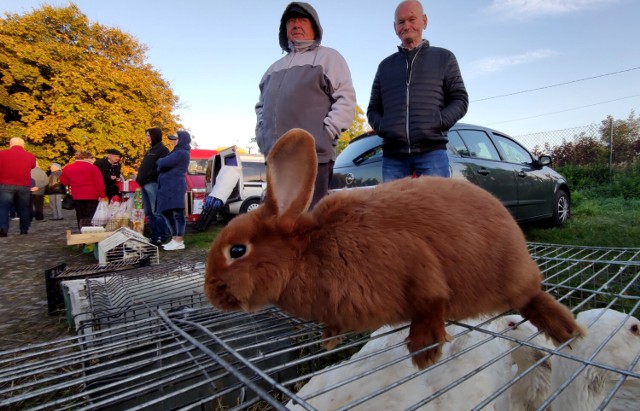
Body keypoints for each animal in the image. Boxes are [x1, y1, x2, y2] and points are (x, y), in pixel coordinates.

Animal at [205, 128, 584, 370]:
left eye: (237, 251)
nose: (212, 295)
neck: (308, 252)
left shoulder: (415, 263)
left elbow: (431, 302)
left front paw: (424, 351)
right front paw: (328, 340)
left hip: (510, 275)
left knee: (533, 298)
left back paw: (568, 331)